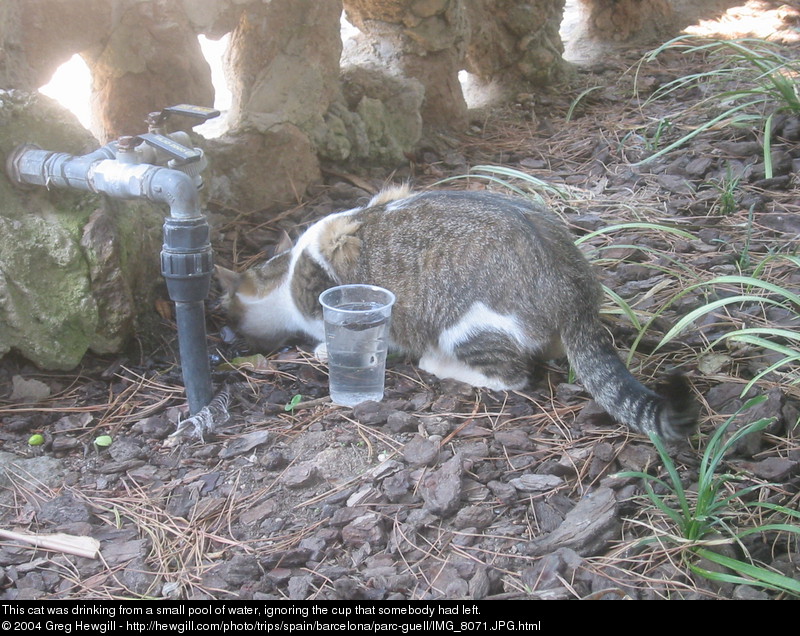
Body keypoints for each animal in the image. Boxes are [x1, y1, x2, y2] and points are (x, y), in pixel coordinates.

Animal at [216, 186, 696, 440]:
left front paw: (322, 350)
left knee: (511, 375)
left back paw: (440, 364)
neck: (285, 277)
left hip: (463, 326)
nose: (230, 336)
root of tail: (574, 289)